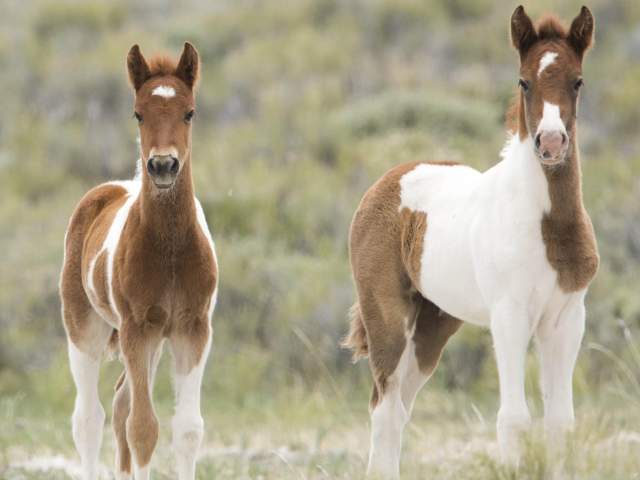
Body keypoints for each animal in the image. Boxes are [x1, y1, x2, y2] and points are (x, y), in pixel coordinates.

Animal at [59, 43, 218, 480]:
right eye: (138, 113)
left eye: (190, 112)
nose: (163, 166)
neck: (171, 251)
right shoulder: (136, 328)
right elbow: (144, 429)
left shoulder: (192, 330)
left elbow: (188, 429)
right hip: (85, 330)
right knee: (89, 419)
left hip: (152, 343)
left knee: (119, 405)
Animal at [344, 6, 598, 477]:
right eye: (523, 81)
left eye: (578, 80)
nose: (551, 143)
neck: (546, 227)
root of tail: (385, 181)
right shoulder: (509, 315)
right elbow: (513, 418)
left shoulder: (566, 319)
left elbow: (561, 421)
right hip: (386, 315)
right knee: (384, 409)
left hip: (434, 324)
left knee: (399, 409)